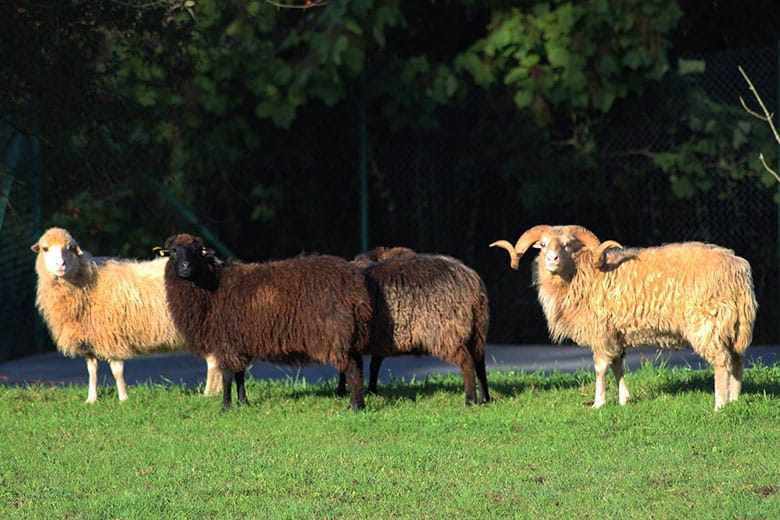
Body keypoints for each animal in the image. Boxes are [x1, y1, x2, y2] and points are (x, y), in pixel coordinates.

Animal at [30, 228, 219, 402]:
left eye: (70, 248)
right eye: (45, 248)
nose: (60, 265)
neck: (89, 283)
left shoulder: (113, 337)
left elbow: (116, 371)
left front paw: (123, 398)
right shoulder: (90, 338)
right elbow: (92, 370)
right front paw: (91, 399)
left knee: (212, 361)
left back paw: (208, 393)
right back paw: (217, 391)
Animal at [158, 234, 372, 412]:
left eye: (197, 251)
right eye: (173, 251)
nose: (185, 267)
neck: (211, 288)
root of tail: (354, 284)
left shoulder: (226, 342)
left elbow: (227, 376)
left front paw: (225, 407)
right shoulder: (238, 343)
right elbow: (240, 374)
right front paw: (243, 402)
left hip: (334, 332)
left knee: (352, 368)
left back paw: (356, 407)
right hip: (349, 333)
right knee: (358, 366)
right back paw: (353, 403)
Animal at [336, 246, 488, 404]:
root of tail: (471, 281)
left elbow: (349, 367)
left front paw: (344, 392)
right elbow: (372, 366)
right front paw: (371, 391)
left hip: (447, 333)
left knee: (467, 362)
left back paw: (470, 399)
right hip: (477, 331)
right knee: (480, 361)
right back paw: (484, 398)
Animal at [494, 223, 756, 410]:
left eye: (568, 244)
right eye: (543, 244)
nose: (552, 259)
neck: (582, 274)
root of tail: (737, 268)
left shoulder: (600, 331)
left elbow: (600, 367)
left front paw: (598, 403)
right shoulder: (614, 333)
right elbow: (617, 365)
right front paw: (624, 399)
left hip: (707, 323)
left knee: (721, 361)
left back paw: (720, 404)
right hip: (732, 325)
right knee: (737, 359)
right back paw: (734, 399)